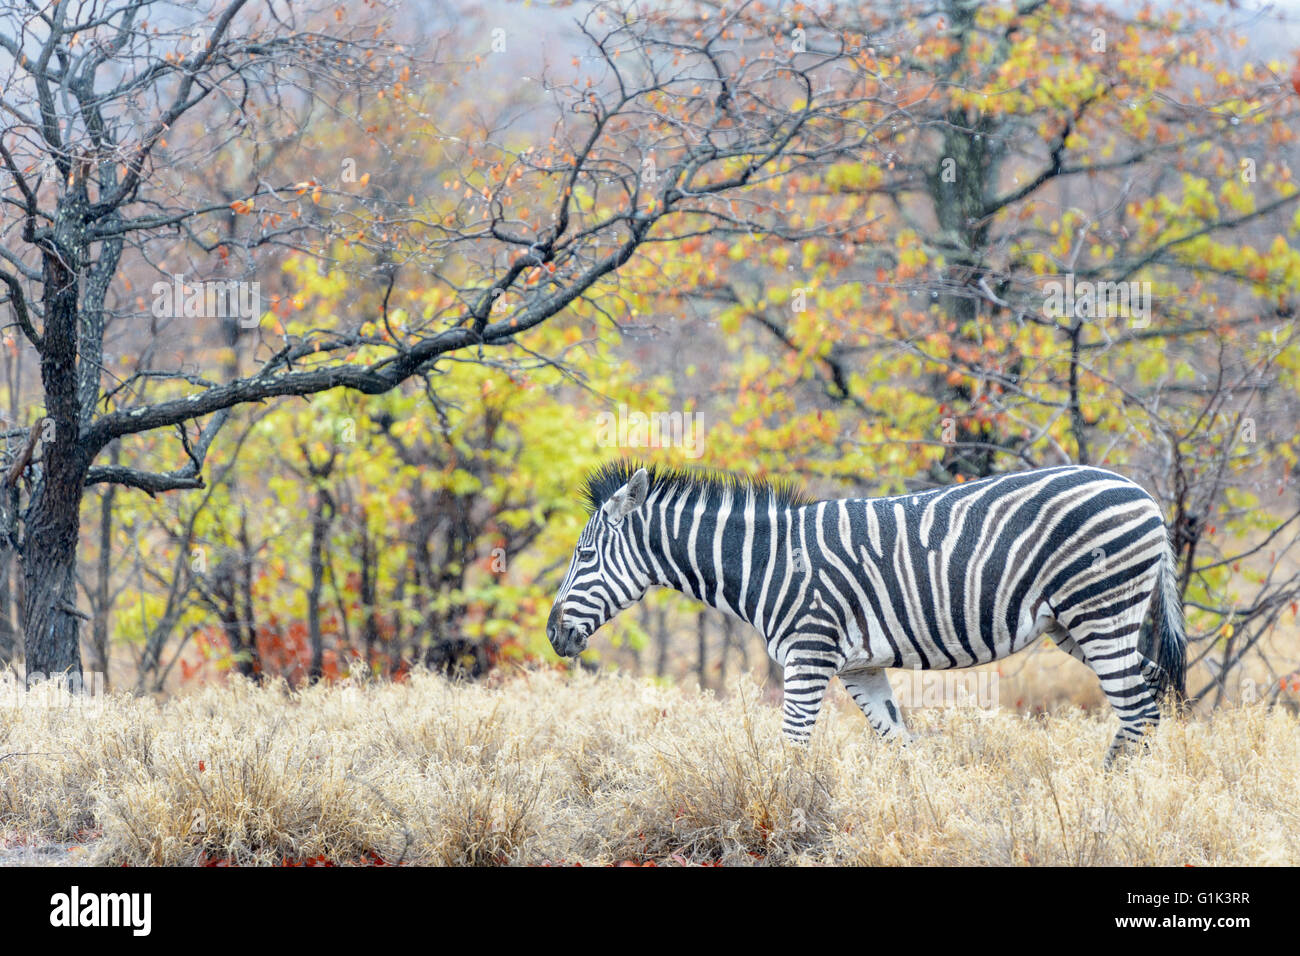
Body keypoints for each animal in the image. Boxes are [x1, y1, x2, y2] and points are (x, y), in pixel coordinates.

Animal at [546, 461, 1187, 765]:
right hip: (1078, 624)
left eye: (583, 555)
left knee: (1137, 711)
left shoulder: (808, 656)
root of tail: (1146, 497)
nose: (553, 634)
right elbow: (902, 747)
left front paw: (783, 819)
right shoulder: (860, 666)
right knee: (1154, 692)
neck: (768, 563)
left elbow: (793, 749)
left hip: (1100, 612)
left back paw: (1111, 801)